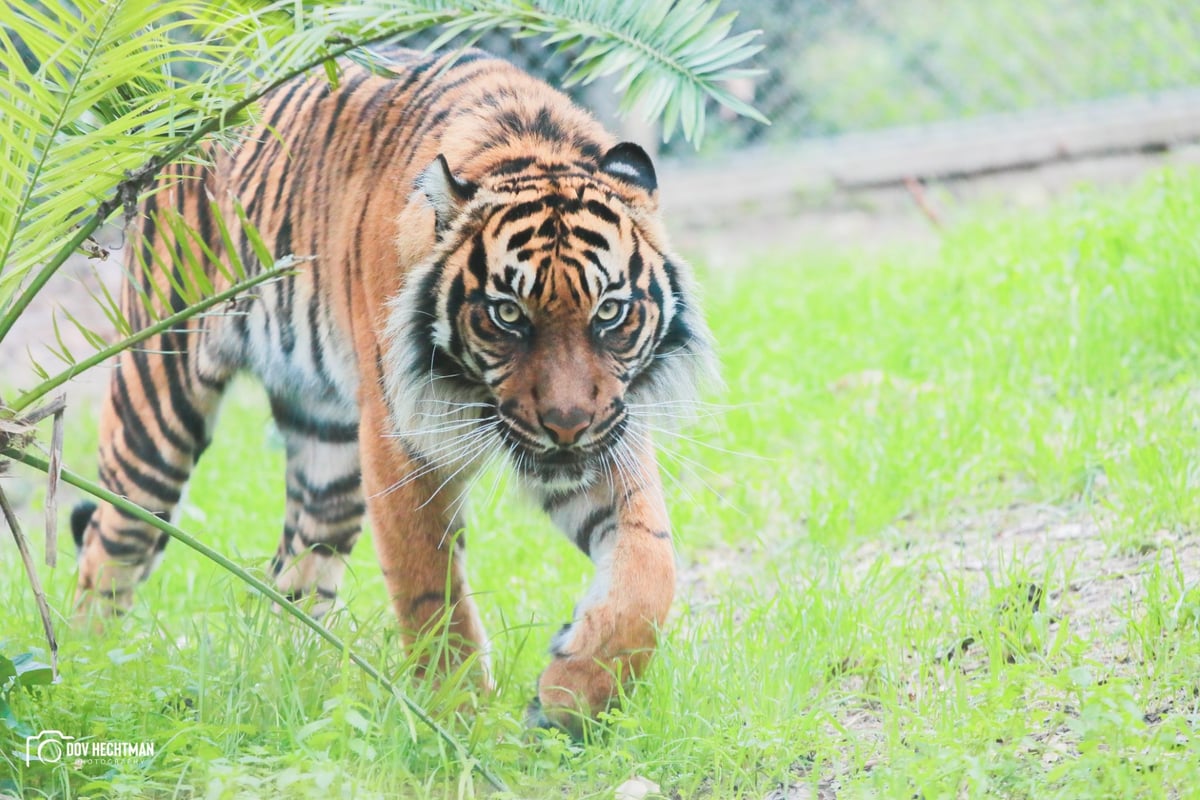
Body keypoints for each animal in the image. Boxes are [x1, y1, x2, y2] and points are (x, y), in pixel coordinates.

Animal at [70, 48, 710, 738]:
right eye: (508, 314)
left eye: (610, 312)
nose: (566, 424)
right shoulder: (401, 444)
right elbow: (431, 592)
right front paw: (460, 725)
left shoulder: (609, 431)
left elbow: (650, 572)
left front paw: (571, 697)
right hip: (157, 399)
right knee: (108, 544)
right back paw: (87, 678)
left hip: (329, 454)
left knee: (294, 571)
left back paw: (301, 684)